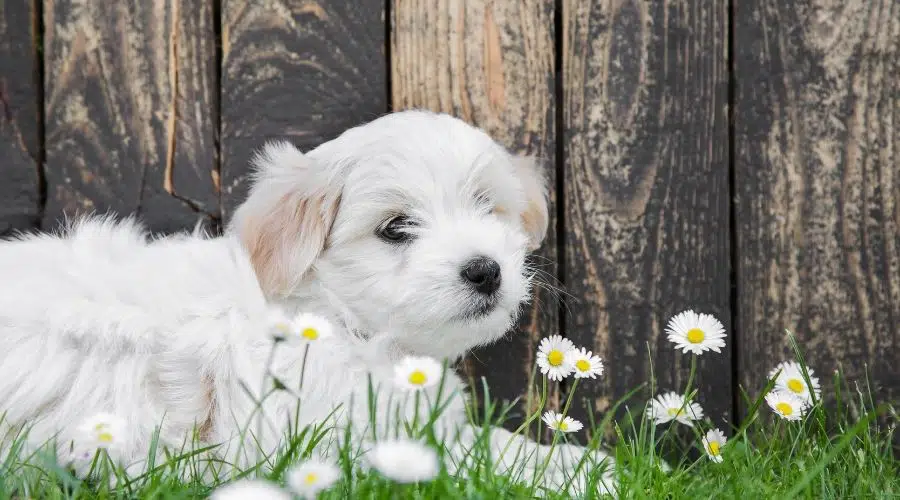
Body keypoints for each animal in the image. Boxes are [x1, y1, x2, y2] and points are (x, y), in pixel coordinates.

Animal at [0, 110, 612, 492]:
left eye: (488, 206)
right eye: (396, 228)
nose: (486, 270)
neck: (338, 320)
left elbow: (491, 443)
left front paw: (585, 464)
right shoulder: (331, 440)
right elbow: (464, 460)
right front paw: (585, 474)